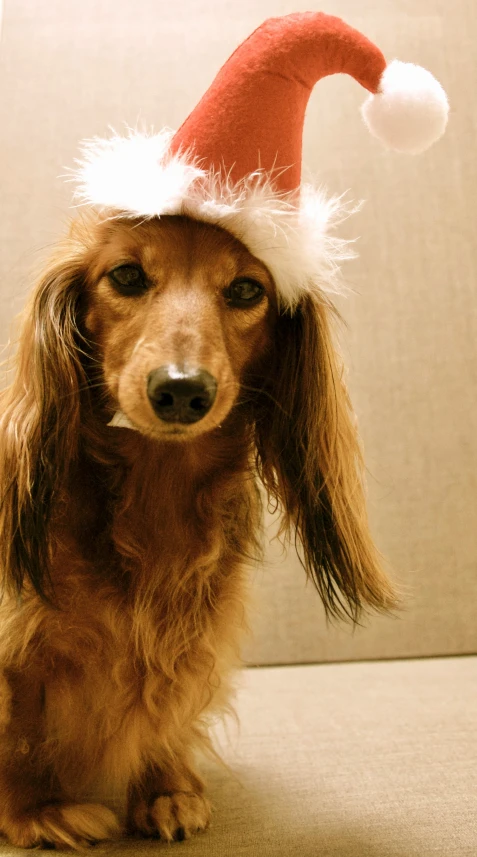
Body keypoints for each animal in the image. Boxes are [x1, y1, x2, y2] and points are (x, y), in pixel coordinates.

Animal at [0, 209, 396, 848]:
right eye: (127, 275)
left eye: (246, 290)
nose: (182, 391)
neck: (158, 495)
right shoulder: (18, 638)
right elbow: (21, 728)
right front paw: (38, 808)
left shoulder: (196, 629)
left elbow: (167, 701)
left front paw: (167, 787)